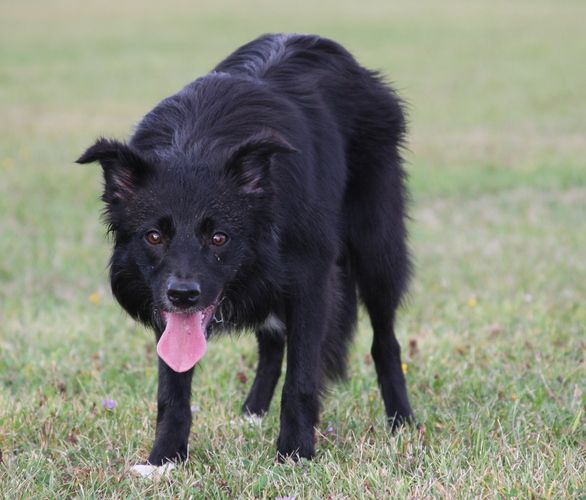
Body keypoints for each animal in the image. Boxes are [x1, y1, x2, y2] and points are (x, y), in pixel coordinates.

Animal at [77, 33, 413, 465]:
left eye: (219, 238)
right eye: (154, 237)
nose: (183, 295)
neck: (195, 147)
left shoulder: (311, 280)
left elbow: (301, 378)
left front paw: (296, 452)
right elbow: (173, 389)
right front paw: (165, 458)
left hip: (376, 252)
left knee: (384, 339)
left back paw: (401, 419)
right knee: (271, 340)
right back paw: (253, 412)